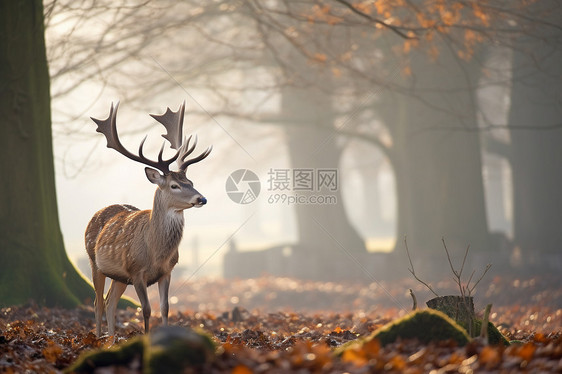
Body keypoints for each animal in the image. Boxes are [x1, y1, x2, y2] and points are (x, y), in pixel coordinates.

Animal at [85, 101, 210, 338]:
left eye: (191, 181)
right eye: (174, 185)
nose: (202, 198)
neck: (155, 253)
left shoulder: (167, 271)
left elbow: (165, 307)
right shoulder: (136, 271)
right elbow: (146, 309)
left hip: (118, 276)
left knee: (110, 302)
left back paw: (112, 339)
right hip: (94, 262)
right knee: (97, 302)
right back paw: (97, 338)